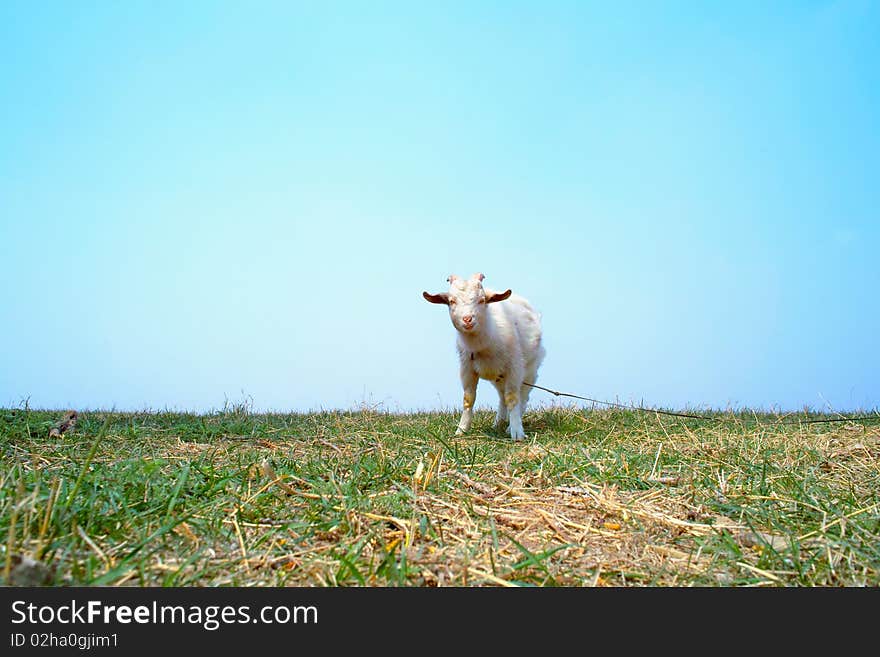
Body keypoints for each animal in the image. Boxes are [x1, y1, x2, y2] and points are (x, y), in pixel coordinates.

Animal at [422, 272, 544, 440]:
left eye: (482, 300)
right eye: (451, 301)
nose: (467, 319)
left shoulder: (514, 367)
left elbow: (512, 398)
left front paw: (517, 433)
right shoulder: (467, 368)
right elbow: (468, 399)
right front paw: (461, 430)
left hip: (530, 370)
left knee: (523, 396)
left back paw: (510, 426)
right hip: (498, 377)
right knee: (502, 397)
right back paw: (498, 423)